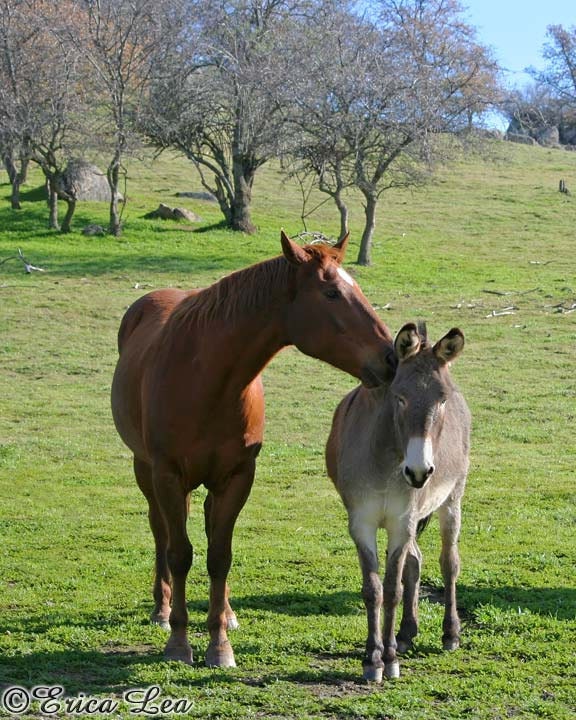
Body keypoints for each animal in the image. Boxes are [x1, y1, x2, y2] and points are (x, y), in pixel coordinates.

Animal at [111, 230, 396, 669]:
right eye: (331, 292)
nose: (391, 357)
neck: (205, 378)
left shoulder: (238, 476)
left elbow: (219, 555)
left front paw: (219, 644)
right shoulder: (167, 474)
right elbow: (180, 553)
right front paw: (179, 641)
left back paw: (226, 612)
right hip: (146, 470)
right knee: (161, 531)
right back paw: (162, 609)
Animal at [325, 322, 471, 682]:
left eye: (442, 400)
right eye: (399, 398)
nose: (419, 472)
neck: (387, 461)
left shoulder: (401, 522)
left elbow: (393, 588)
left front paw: (387, 659)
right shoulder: (362, 523)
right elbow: (374, 589)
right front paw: (372, 658)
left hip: (451, 501)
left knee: (449, 563)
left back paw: (450, 634)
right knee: (416, 562)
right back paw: (406, 633)